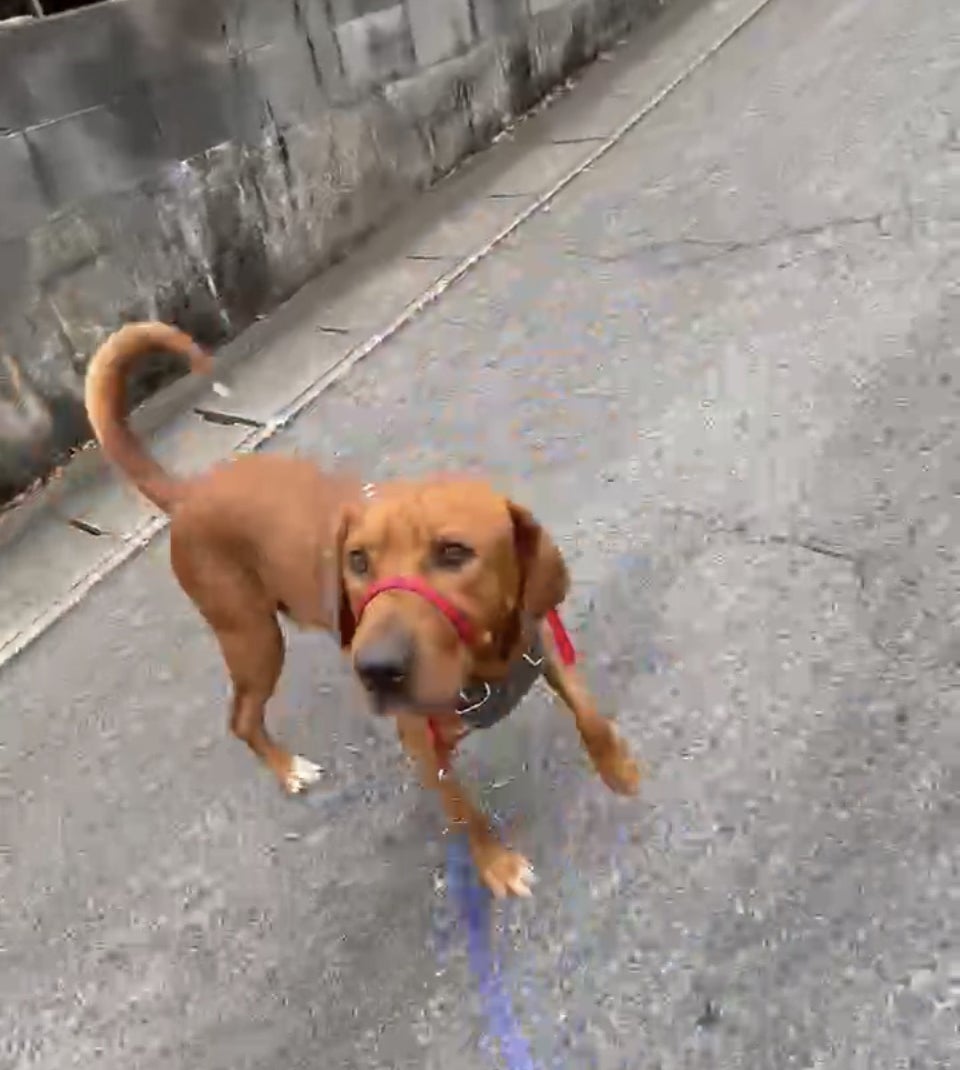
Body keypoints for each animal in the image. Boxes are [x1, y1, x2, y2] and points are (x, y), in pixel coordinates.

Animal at [84, 322, 641, 898]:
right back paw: (288, 769)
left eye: (454, 553)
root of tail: (190, 493)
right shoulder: (422, 745)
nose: (376, 670)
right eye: (357, 560)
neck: (483, 662)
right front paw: (497, 866)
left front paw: (619, 768)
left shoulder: (540, 642)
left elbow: (588, 713)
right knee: (241, 717)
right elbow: (466, 814)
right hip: (254, 638)